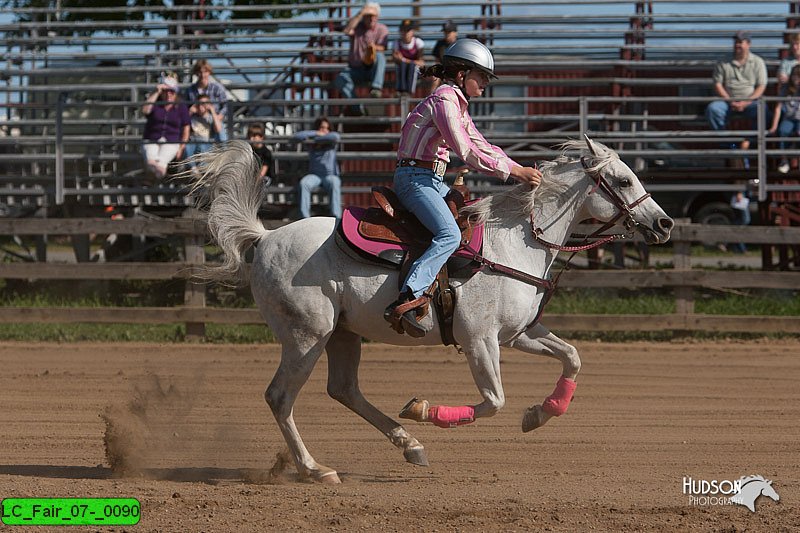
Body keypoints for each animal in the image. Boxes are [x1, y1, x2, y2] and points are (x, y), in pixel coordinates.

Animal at [191, 136, 672, 482]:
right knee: (280, 397)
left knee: (343, 389)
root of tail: (266, 237)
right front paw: (424, 409)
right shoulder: (480, 341)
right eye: (623, 181)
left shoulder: (518, 335)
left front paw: (539, 414)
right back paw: (315, 468)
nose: (664, 223)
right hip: (306, 337)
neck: (514, 241)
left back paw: (409, 445)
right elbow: (494, 401)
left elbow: (572, 357)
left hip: (342, 334)